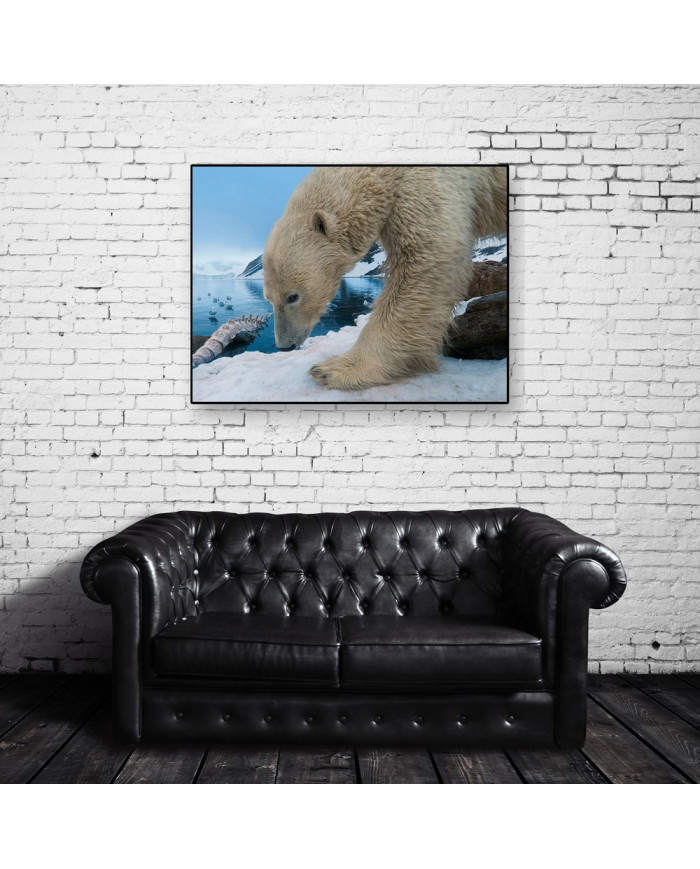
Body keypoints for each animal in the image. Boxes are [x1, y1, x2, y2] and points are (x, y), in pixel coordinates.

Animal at [262, 165, 507, 391]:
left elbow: (427, 258)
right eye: (269, 298)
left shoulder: (429, 181)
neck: (382, 172)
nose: (284, 346)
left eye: (292, 296)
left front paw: (335, 370)